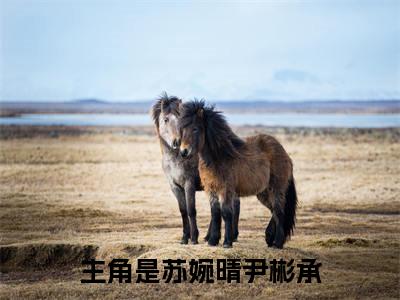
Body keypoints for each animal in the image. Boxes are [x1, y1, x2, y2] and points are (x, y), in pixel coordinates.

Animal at [152, 94, 241, 246]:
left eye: (180, 120)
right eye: (166, 119)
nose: (177, 142)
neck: (176, 159)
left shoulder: (189, 184)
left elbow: (191, 210)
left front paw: (193, 238)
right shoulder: (175, 186)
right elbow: (183, 210)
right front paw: (184, 238)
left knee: (235, 204)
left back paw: (232, 236)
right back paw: (209, 236)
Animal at [177, 99, 296, 247]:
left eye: (195, 129)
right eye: (182, 129)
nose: (183, 152)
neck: (219, 156)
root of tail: (285, 153)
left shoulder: (226, 189)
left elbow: (226, 213)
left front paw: (227, 242)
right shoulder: (211, 189)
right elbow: (215, 213)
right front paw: (213, 241)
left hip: (276, 188)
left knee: (279, 212)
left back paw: (278, 243)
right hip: (263, 192)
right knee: (274, 210)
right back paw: (269, 238)